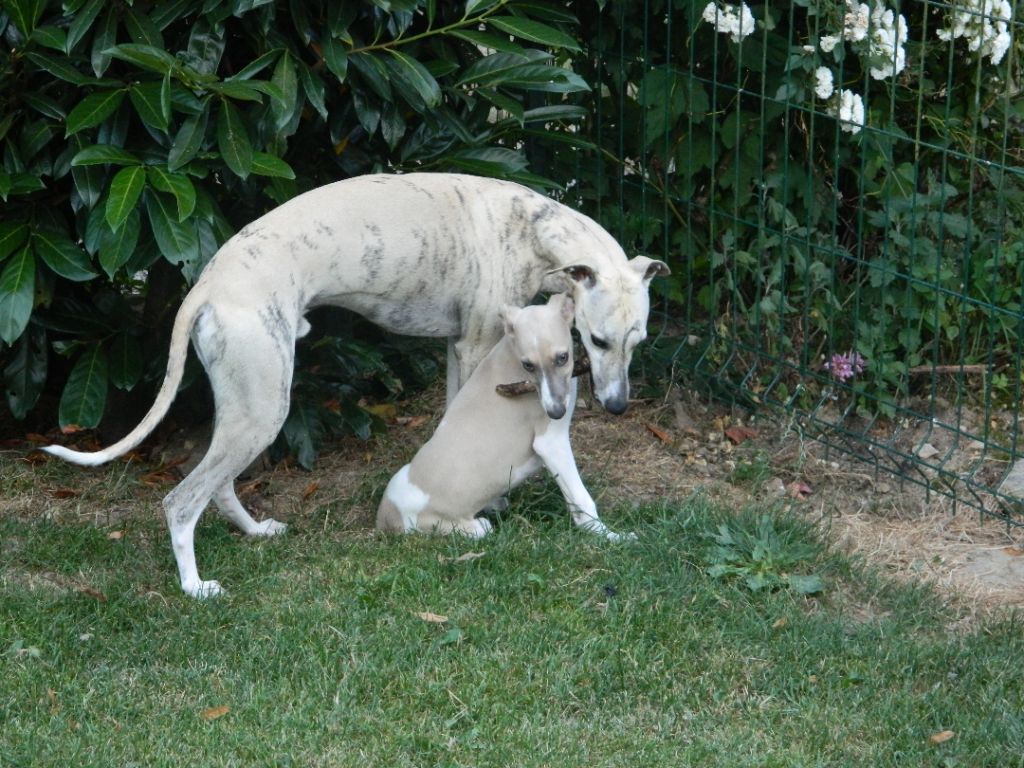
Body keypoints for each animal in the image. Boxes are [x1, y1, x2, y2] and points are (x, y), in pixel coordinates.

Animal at [378, 292, 626, 540]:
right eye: (528, 365)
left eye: (562, 357)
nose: (555, 413)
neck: (510, 350)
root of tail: (387, 520)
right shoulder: (550, 442)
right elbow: (581, 498)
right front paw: (609, 535)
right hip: (460, 526)